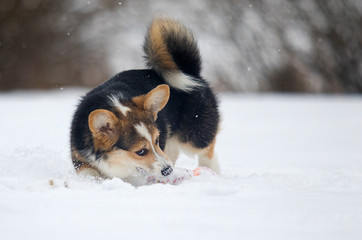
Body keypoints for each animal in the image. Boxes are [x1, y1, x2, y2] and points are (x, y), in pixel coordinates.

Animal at [69, 16, 219, 185]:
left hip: (194, 136)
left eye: (157, 140)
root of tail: (191, 72)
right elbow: (89, 172)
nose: (168, 171)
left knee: (207, 152)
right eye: (141, 151)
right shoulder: (80, 159)